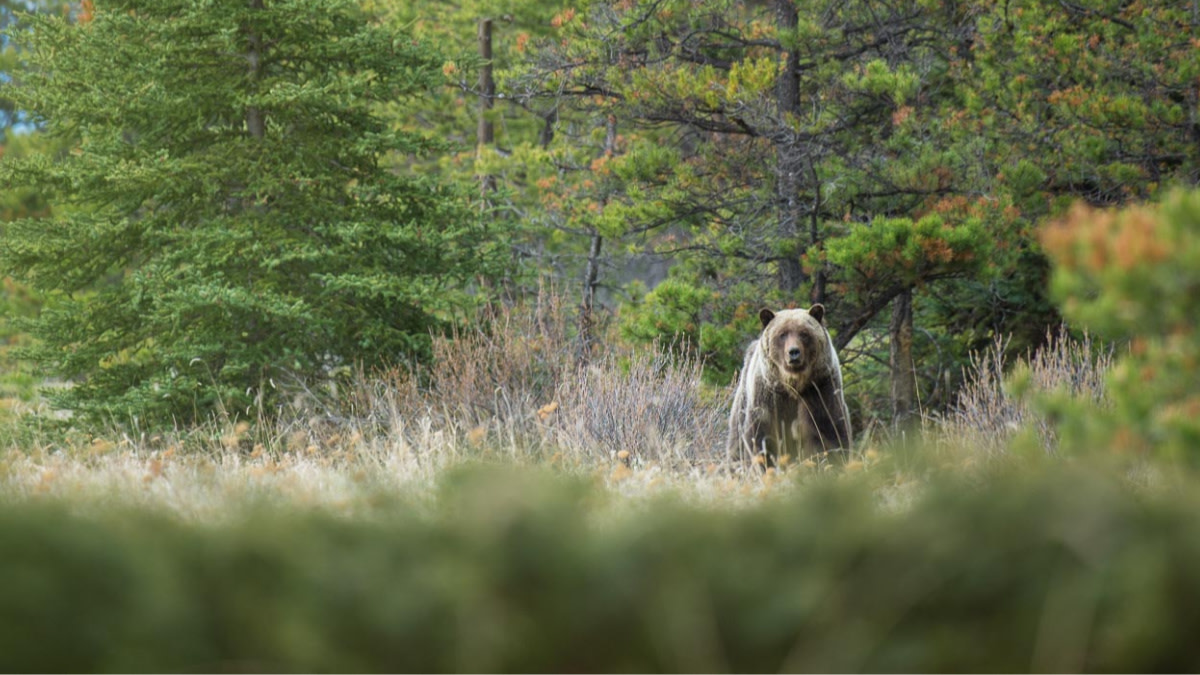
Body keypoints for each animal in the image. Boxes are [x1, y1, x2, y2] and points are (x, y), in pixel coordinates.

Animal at [720, 303, 854, 466]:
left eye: (804, 333)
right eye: (782, 334)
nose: (794, 352)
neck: (793, 384)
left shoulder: (820, 389)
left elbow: (830, 431)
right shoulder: (769, 399)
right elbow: (760, 440)